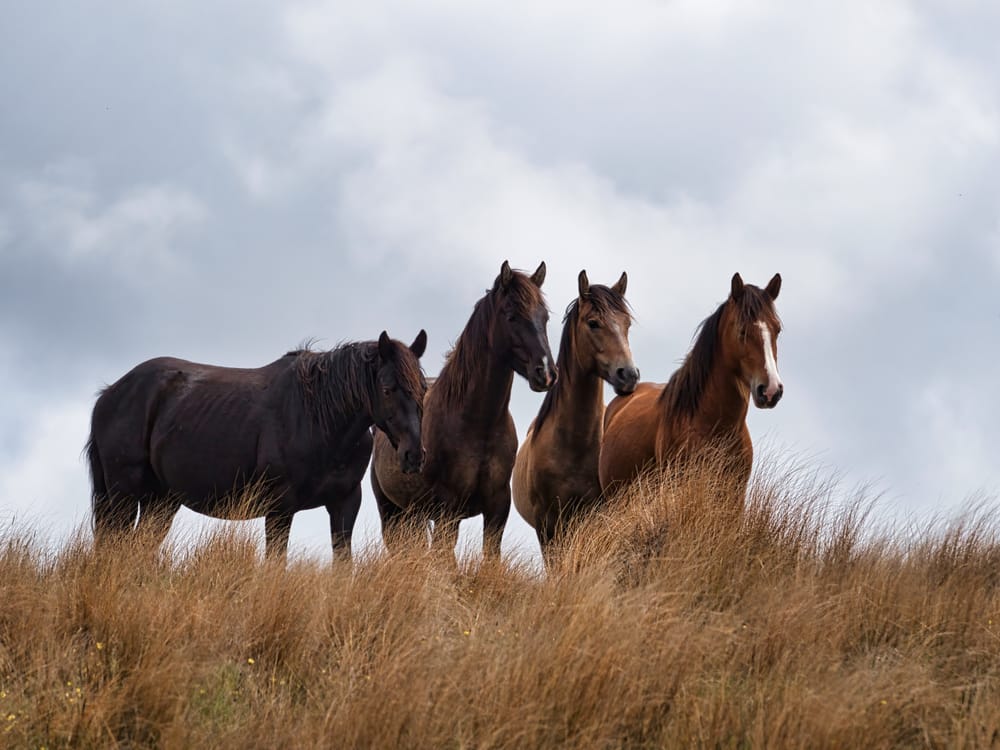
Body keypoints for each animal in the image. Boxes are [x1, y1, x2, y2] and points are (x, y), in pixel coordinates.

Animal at [86, 331, 428, 561]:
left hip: (161, 501)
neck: (319, 419)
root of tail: (109, 394)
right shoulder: (279, 508)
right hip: (123, 496)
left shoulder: (345, 503)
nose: (413, 455)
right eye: (387, 389)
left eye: (423, 388)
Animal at [370, 261, 557, 560]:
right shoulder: (448, 510)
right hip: (392, 512)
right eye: (511, 316)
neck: (477, 425)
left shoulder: (497, 507)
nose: (547, 374)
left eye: (545, 317)